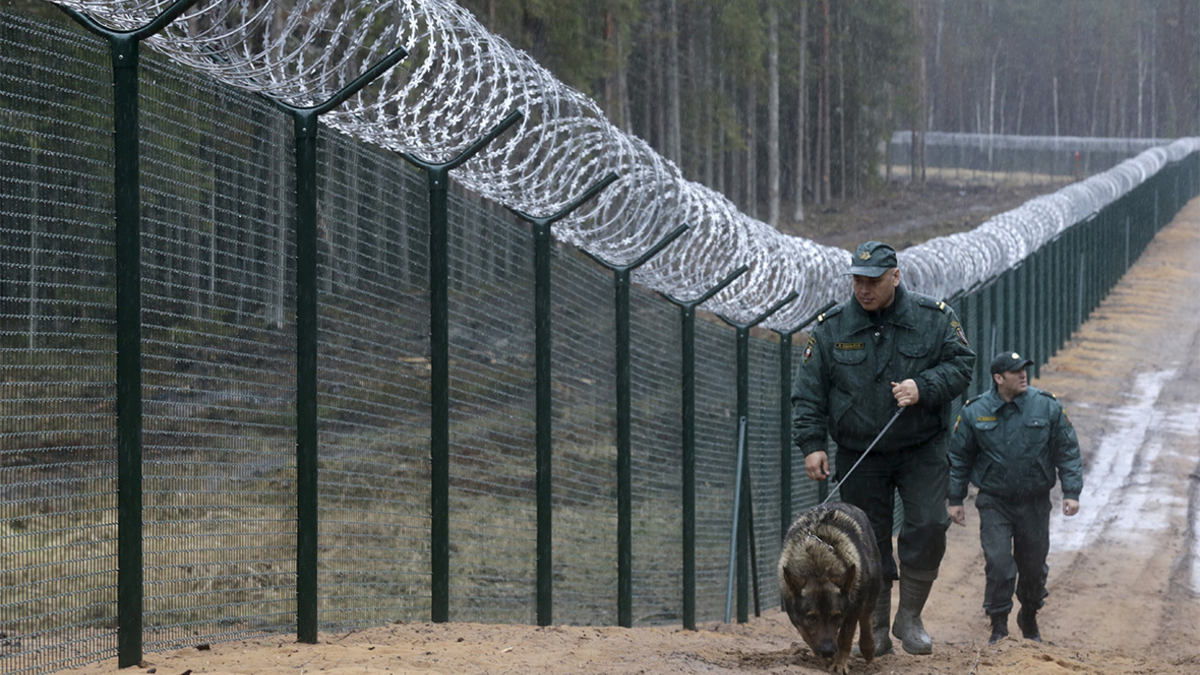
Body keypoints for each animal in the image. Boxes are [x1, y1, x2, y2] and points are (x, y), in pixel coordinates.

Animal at [777, 502, 883, 667]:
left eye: (836, 617)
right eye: (812, 618)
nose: (827, 651)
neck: (818, 568)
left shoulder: (852, 610)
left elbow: (845, 636)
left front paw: (839, 664)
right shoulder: (797, 617)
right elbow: (807, 634)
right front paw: (825, 657)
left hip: (872, 587)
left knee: (866, 617)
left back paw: (868, 646)